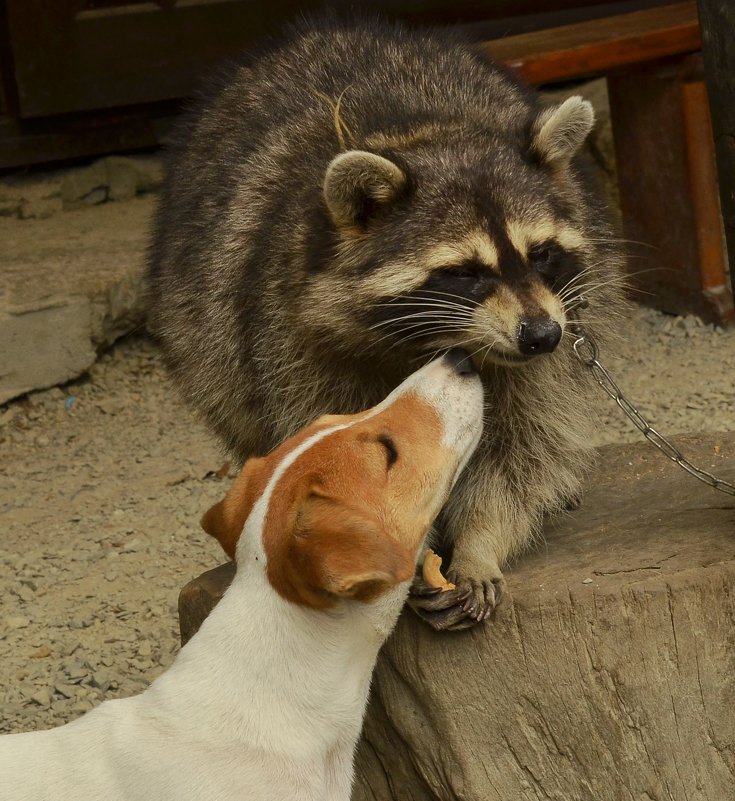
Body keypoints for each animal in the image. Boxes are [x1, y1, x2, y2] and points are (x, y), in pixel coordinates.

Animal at [150, 18, 628, 628]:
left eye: (541, 254)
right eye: (465, 272)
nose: (542, 337)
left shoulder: (542, 342)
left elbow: (521, 447)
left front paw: (479, 543)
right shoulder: (293, 340)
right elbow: (333, 456)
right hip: (202, 319)